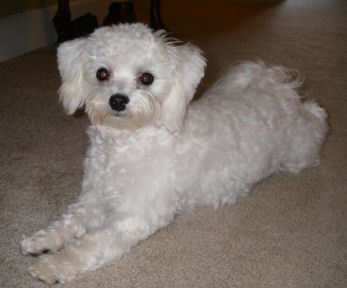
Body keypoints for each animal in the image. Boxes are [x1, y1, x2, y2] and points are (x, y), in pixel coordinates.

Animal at [21, 23, 328, 284]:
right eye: (102, 73)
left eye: (146, 78)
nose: (118, 100)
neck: (126, 143)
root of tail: (278, 90)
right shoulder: (94, 198)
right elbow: (69, 221)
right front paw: (42, 241)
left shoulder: (136, 214)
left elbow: (91, 243)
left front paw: (53, 265)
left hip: (299, 152)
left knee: (316, 116)